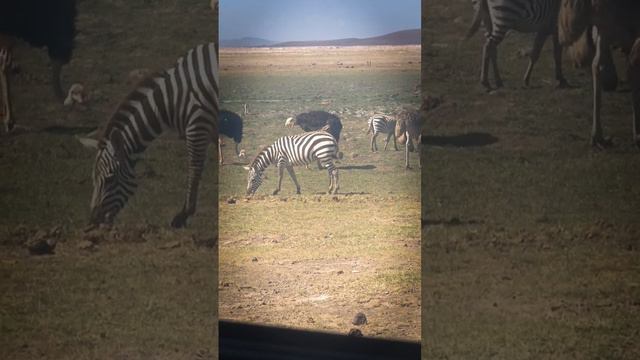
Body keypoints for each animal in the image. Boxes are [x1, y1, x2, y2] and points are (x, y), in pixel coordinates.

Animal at [86, 42, 219, 228]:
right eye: (93, 180)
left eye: (110, 179)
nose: (93, 222)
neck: (171, 99)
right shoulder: (210, 126)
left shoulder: (197, 124)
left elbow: (194, 168)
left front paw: (184, 214)